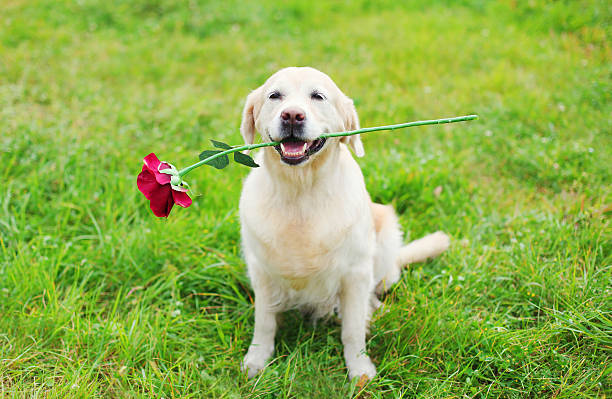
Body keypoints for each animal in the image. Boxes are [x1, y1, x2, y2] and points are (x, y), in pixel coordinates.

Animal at [239, 67, 450, 380]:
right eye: (274, 96)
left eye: (318, 96)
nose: (292, 115)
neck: (301, 193)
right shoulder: (262, 271)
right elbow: (264, 321)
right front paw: (256, 360)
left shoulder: (356, 272)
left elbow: (352, 328)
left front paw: (359, 369)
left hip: (385, 240)